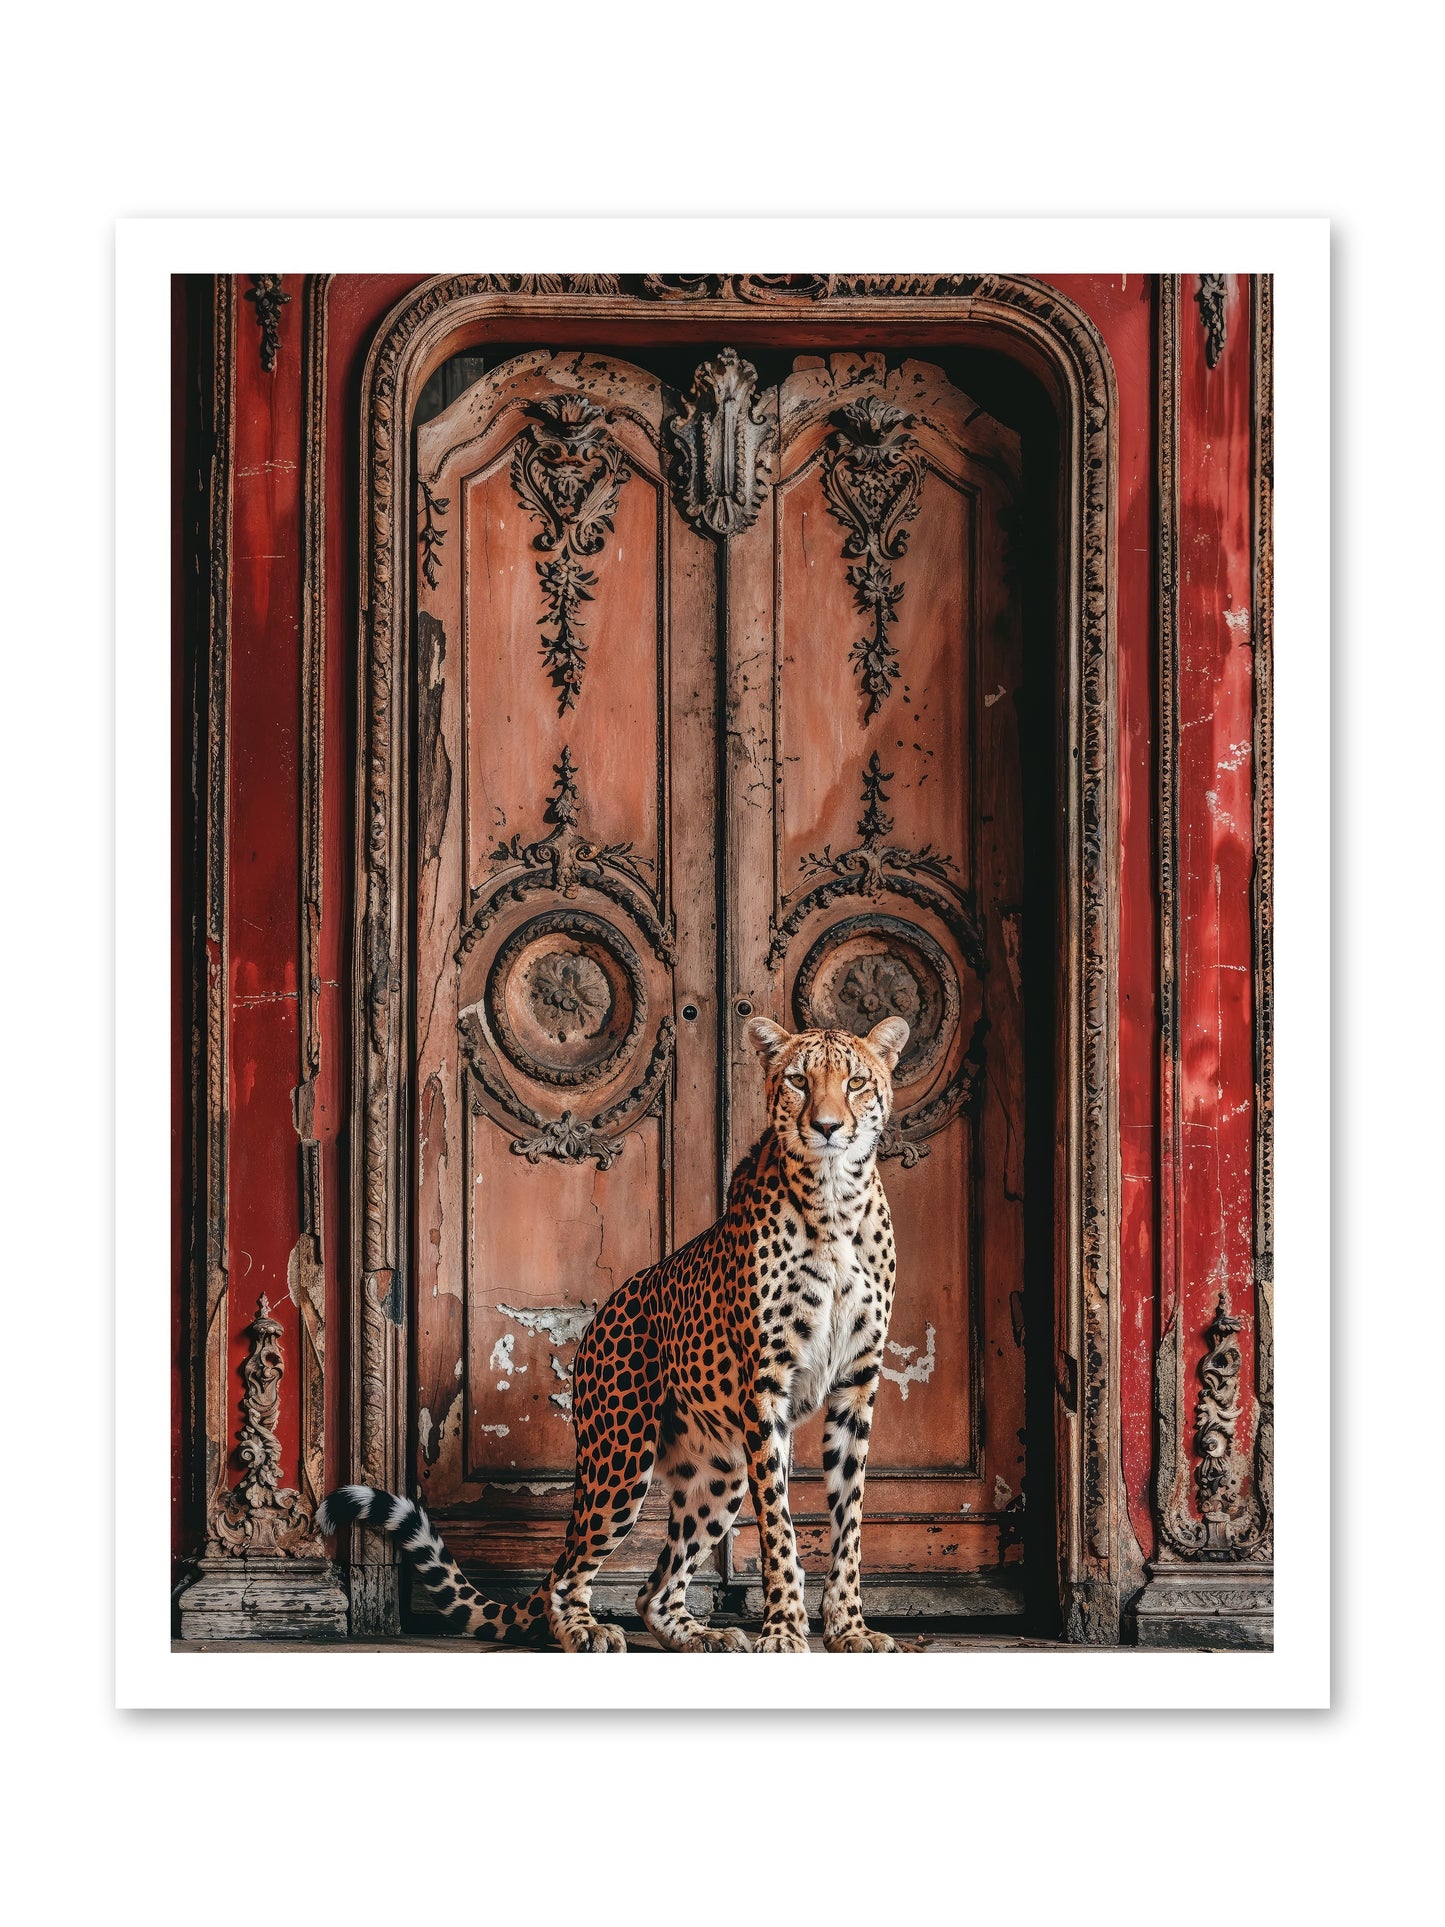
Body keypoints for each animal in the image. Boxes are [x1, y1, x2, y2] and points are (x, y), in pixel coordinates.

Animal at [318, 1013, 910, 1653]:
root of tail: (601, 1314)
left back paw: (704, 1636)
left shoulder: (856, 1385)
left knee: (653, 1590)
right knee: (568, 1574)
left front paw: (849, 1628)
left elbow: (849, 1520)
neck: (835, 1203)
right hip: (622, 1458)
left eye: (855, 1083)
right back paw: (587, 1629)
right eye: (800, 1081)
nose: (827, 1127)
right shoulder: (767, 1388)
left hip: (719, 1472)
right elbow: (779, 1523)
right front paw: (782, 1630)